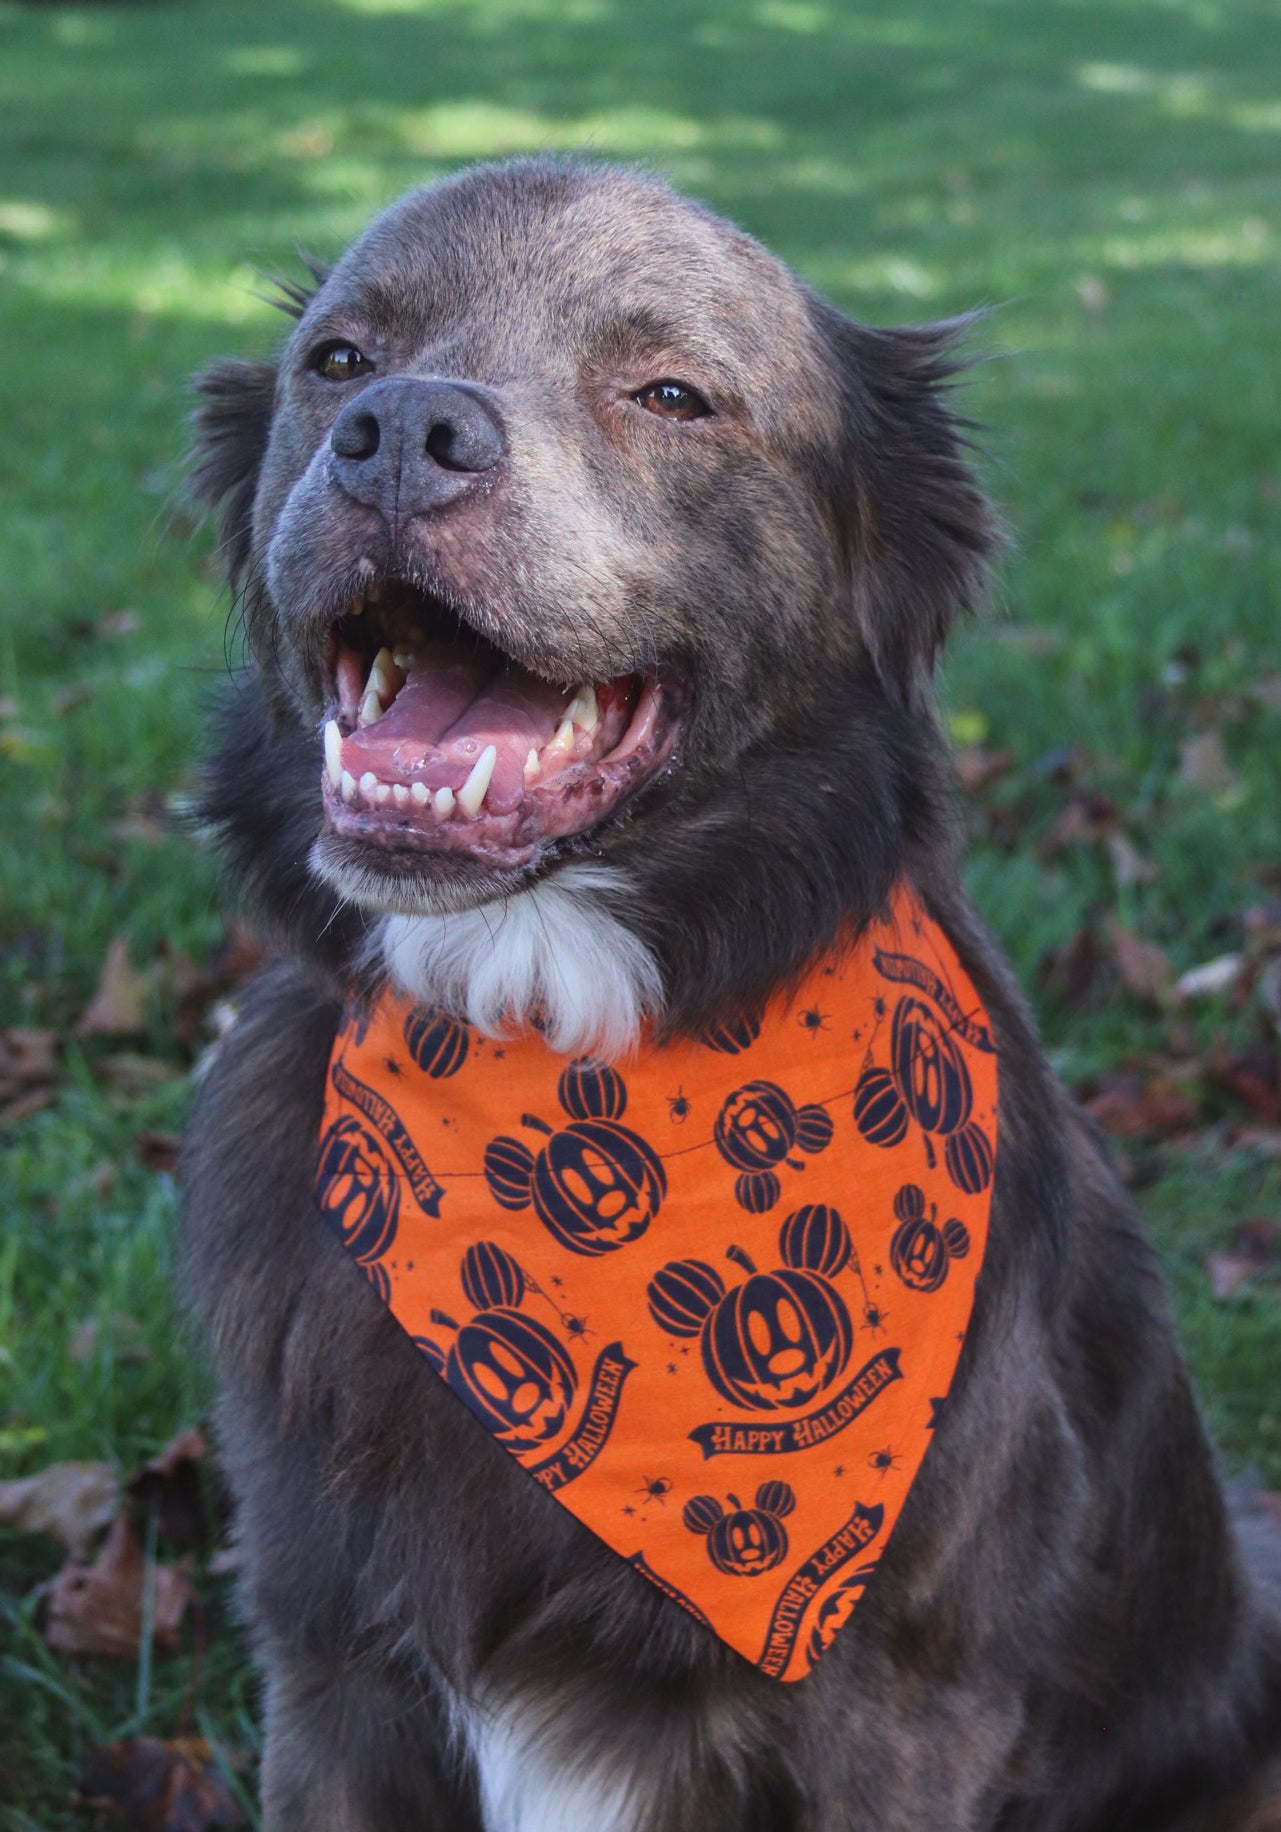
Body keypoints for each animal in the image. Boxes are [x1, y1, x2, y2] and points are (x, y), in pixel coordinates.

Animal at [180, 161, 1281, 1832]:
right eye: (340, 361)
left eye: (670, 394)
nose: (399, 434)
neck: (567, 1037)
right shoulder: (328, 1675)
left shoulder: (905, 1716)